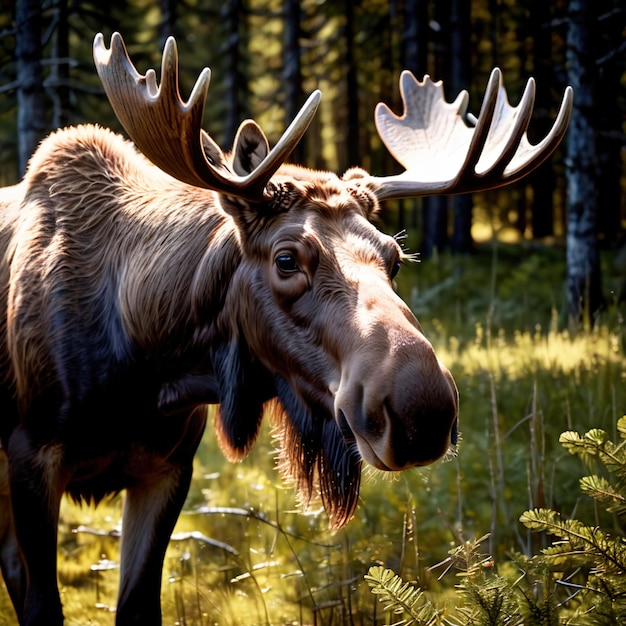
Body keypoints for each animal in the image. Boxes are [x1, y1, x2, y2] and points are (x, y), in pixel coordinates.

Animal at [0, 34, 568, 624]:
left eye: (394, 258)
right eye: (287, 259)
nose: (423, 411)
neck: (149, 361)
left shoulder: (168, 467)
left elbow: (136, 603)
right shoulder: (32, 452)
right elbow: (42, 605)